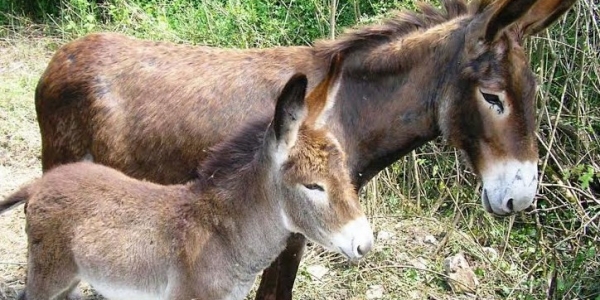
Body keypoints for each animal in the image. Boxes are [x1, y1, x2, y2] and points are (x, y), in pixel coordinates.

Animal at [1, 73, 376, 300]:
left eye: (346, 174)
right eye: (313, 187)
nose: (365, 244)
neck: (224, 236)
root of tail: (41, 183)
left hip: (71, 276)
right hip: (49, 273)